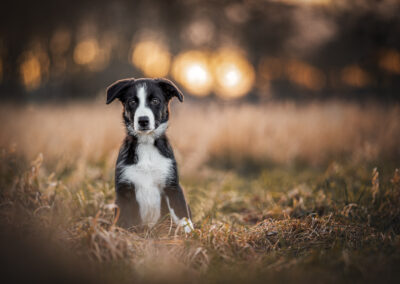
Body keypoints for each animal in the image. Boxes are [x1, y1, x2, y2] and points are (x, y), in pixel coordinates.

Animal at [106, 77, 194, 233]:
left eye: (155, 101)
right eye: (132, 102)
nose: (143, 120)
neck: (146, 145)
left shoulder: (172, 186)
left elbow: (182, 214)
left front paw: (191, 234)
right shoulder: (124, 190)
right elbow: (123, 221)